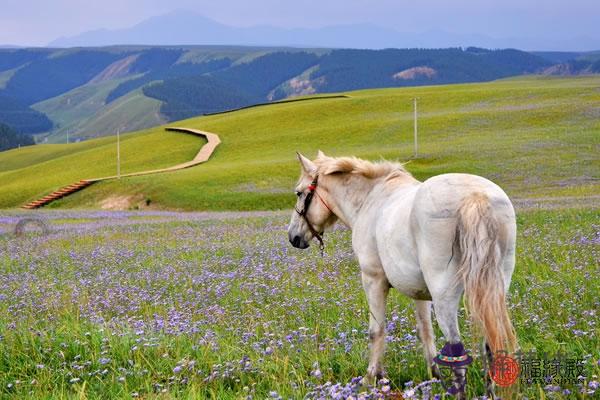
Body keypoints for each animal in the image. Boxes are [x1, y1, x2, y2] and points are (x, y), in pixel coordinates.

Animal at [288, 152, 516, 398]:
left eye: (299, 192)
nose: (293, 237)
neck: (369, 199)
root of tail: (475, 197)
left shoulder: (373, 280)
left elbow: (376, 331)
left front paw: (371, 379)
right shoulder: (420, 293)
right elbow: (425, 331)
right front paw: (434, 375)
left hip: (446, 298)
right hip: (490, 293)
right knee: (490, 347)